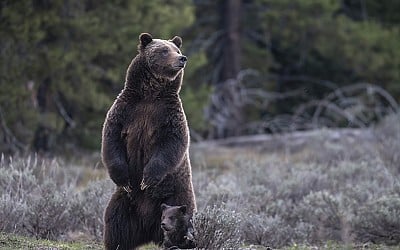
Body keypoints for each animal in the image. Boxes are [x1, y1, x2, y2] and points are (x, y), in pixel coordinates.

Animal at [101, 33, 197, 250]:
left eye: (176, 50)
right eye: (164, 50)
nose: (182, 58)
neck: (151, 94)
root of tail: (148, 228)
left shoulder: (169, 115)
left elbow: (172, 144)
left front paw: (147, 178)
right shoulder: (126, 110)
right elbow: (111, 140)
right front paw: (125, 179)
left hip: (177, 197)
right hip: (125, 203)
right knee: (115, 223)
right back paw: (117, 244)